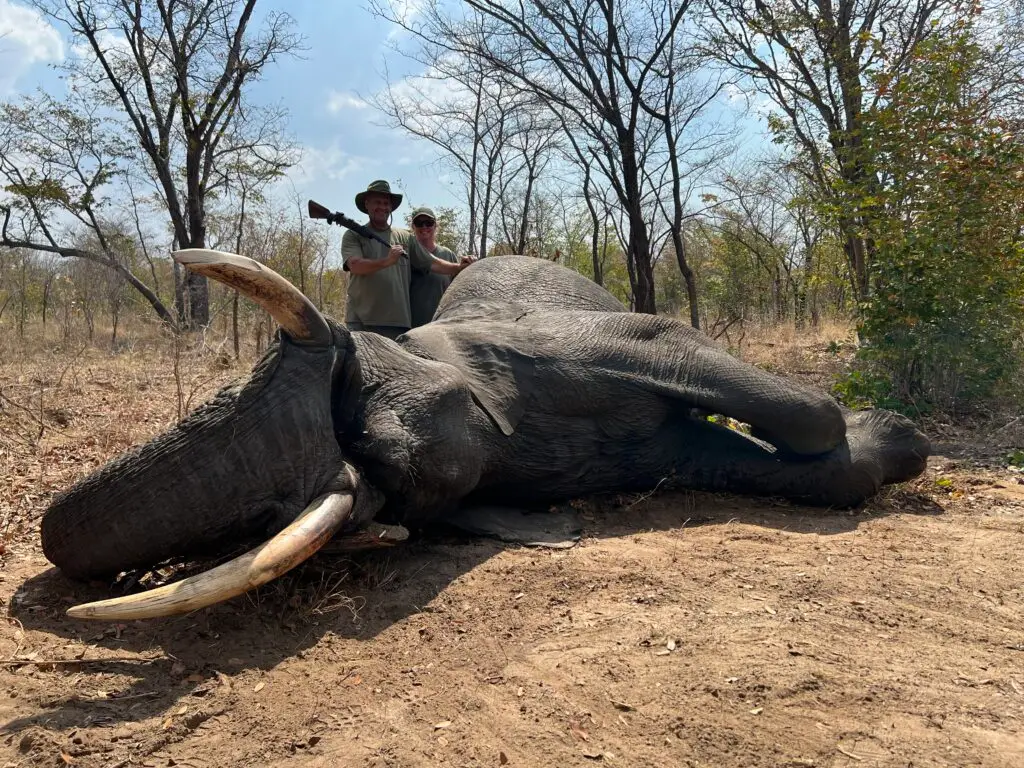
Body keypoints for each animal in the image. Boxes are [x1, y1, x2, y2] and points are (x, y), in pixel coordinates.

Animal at [40, 250, 930, 621]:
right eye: (392, 482)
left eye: (378, 430)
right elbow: (714, 456)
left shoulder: (558, 347)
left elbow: (682, 348)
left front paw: (898, 439)